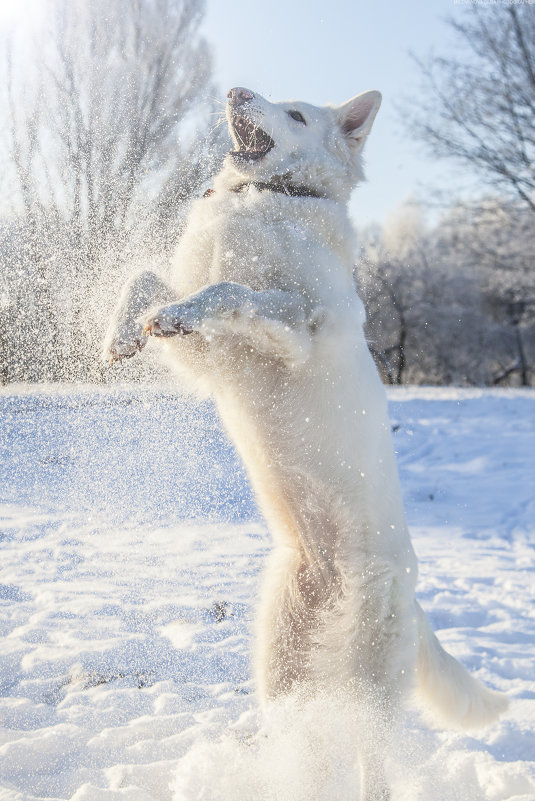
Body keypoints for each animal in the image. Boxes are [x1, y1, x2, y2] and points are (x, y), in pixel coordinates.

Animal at [102, 87, 508, 800]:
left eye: (295, 115)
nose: (236, 90)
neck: (268, 199)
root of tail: (412, 595)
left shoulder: (300, 331)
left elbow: (233, 290)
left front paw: (176, 312)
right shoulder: (208, 361)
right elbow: (147, 279)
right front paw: (126, 332)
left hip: (370, 685)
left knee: (373, 765)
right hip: (280, 667)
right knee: (299, 737)